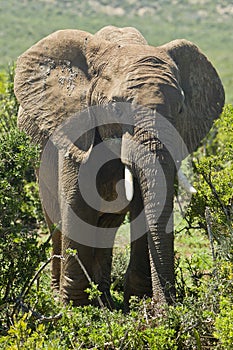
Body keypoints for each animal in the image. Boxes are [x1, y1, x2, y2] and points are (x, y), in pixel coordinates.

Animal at [14, 24, 224, 308]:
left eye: (180, 111)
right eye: (116, 109)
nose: (164, 309)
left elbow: (141, 208)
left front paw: (136, 302)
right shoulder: (75, 132)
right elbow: (77, 206)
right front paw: (76, 309)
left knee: (106, 228)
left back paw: (105, 299)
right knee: (56, 222)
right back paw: (62, 296)